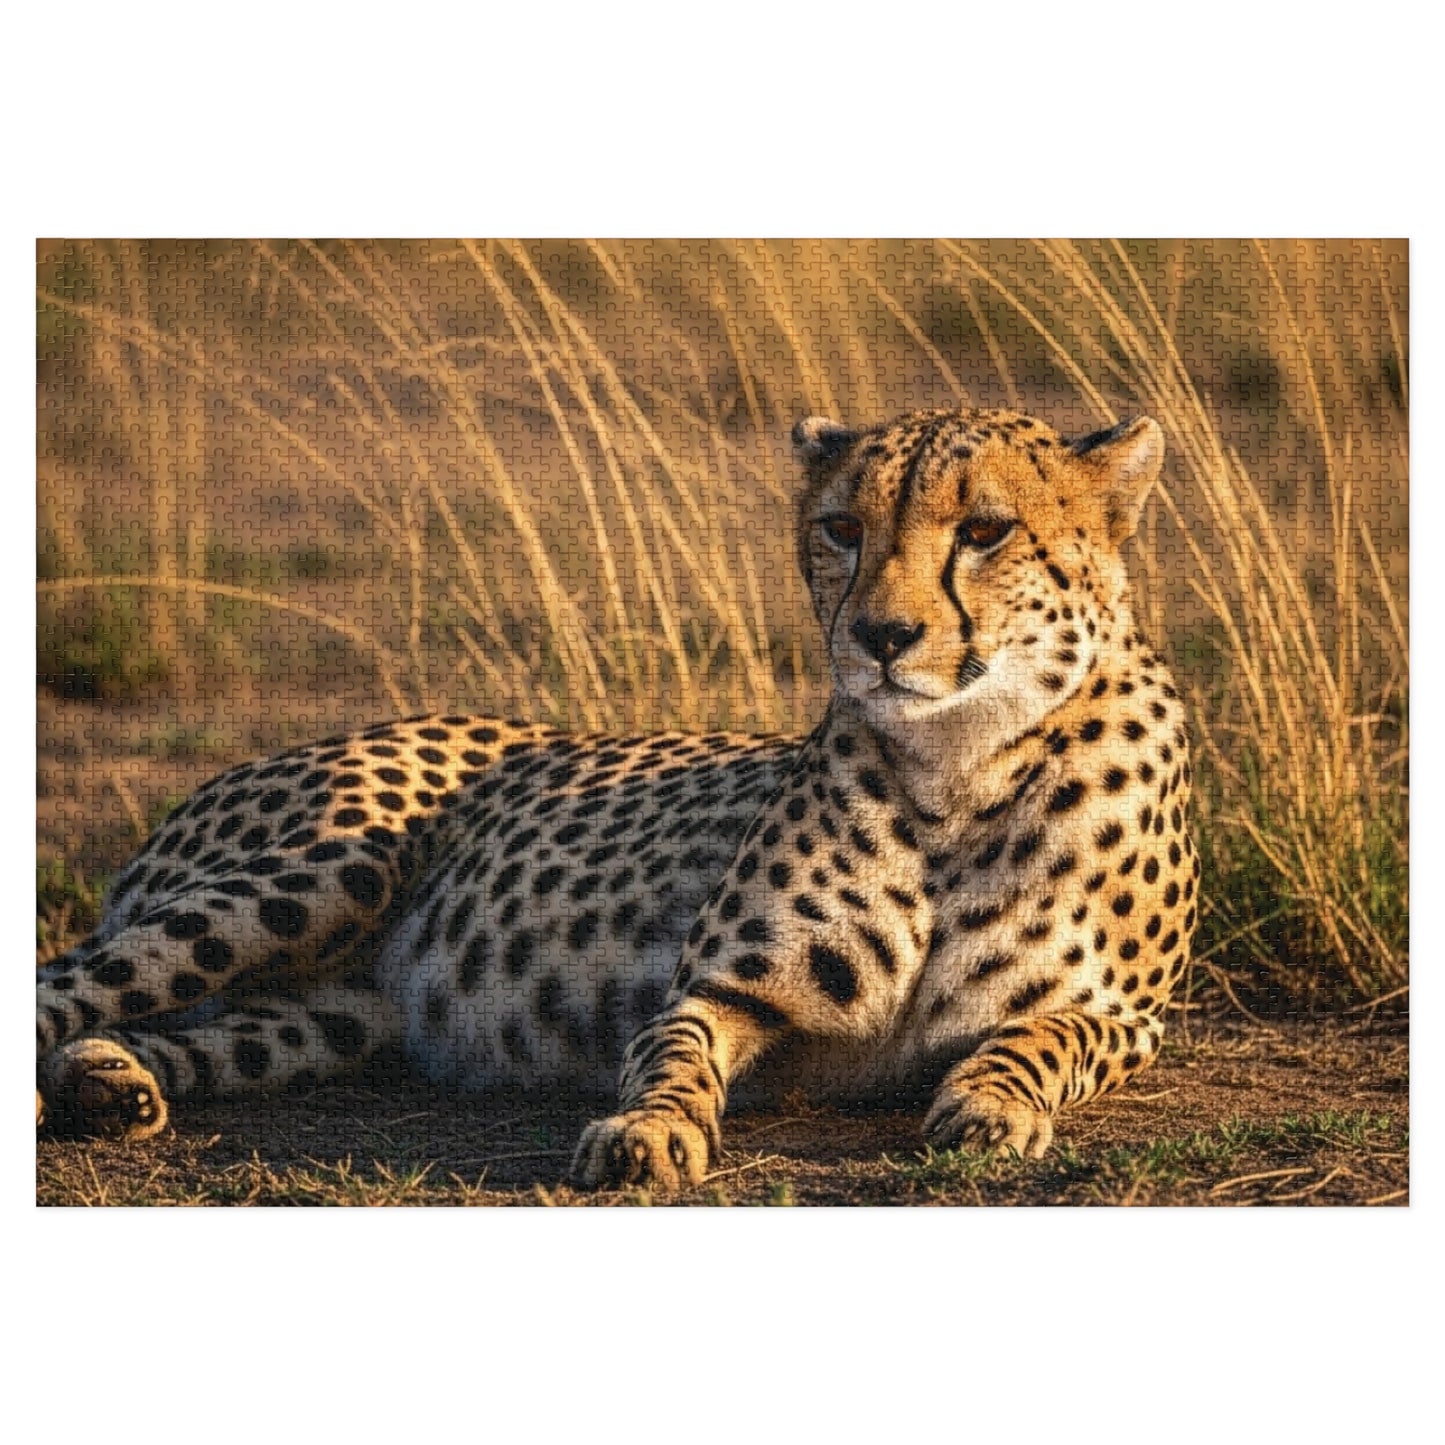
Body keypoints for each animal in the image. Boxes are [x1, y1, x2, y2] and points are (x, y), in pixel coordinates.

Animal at [36, 404, 1198, 1195]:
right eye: (839, 528)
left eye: (985, 530)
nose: (879, 635)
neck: (957, 765)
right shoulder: (718, 985)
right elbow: (671, 1053)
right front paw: (648, 1131)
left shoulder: (1129, 1016)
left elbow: (1043, 1038)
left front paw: (989, 1103)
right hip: (326, 871)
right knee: (67, 983)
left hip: (334, 1013)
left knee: (171, 1029)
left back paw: (111, 1082)